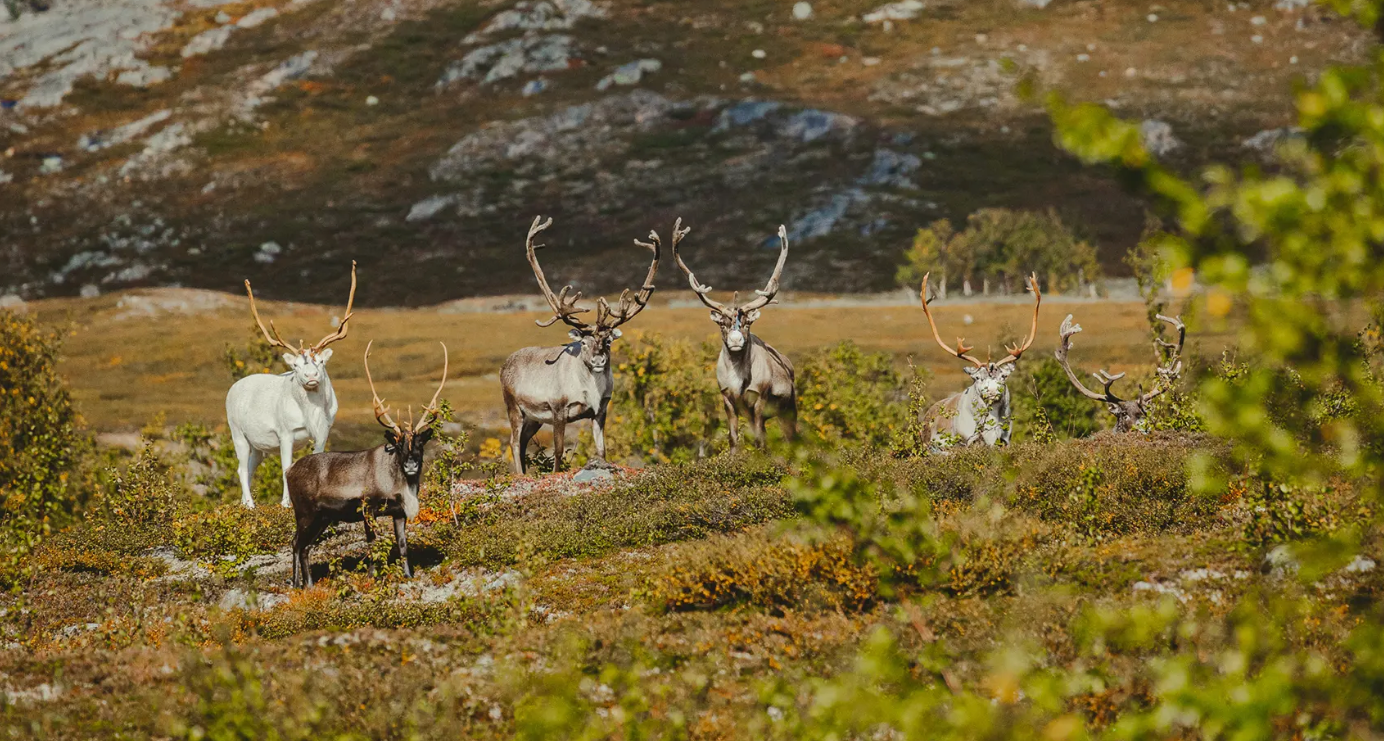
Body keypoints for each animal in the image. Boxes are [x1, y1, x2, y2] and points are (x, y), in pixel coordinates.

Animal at [225, 262, 356, 508]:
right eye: (295, 365)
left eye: (320, 361)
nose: (311, 375)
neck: (312, 413)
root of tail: (232, 389)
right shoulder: (285, 432)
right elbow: (286, 468)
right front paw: (286, 503)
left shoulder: (323, 430)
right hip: (237, 432)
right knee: (240, 468)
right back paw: (250, 504)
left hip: (259, 445)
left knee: (248, 466)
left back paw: (244, 504)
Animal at [286, 340, 447, 588]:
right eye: (398, 444)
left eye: (420, 443)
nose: (410, 465)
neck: (398, 485)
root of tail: (289, 470)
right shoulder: (367, 508)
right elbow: (372, 544)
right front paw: (372, 577)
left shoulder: (398, 512)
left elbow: (402, 545)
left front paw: (408, 575)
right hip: (305, 512)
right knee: (295, 543)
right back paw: (296, 585)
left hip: (323, 517)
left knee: (305, 546)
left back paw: (310, 585)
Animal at [500, 215, 671, 474]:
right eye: (583, 341)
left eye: (608, 340)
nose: (599, 360)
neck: (591, 388)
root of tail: (504, 365)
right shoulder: (558, 409)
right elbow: (558, 451)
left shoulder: (600, 411)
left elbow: (601, 450)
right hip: (515, 407)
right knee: (514, 441)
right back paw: (520, 475)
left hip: (534, 418)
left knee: (522, 442)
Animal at [674, 224, 796, 450]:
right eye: (722, 323)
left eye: (748, 323)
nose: (736, 340)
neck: (739, 380)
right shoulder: (727, 398)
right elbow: (733, 437)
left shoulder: (759, 398)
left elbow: (759, 439)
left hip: (789, 405)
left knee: (791, 436)